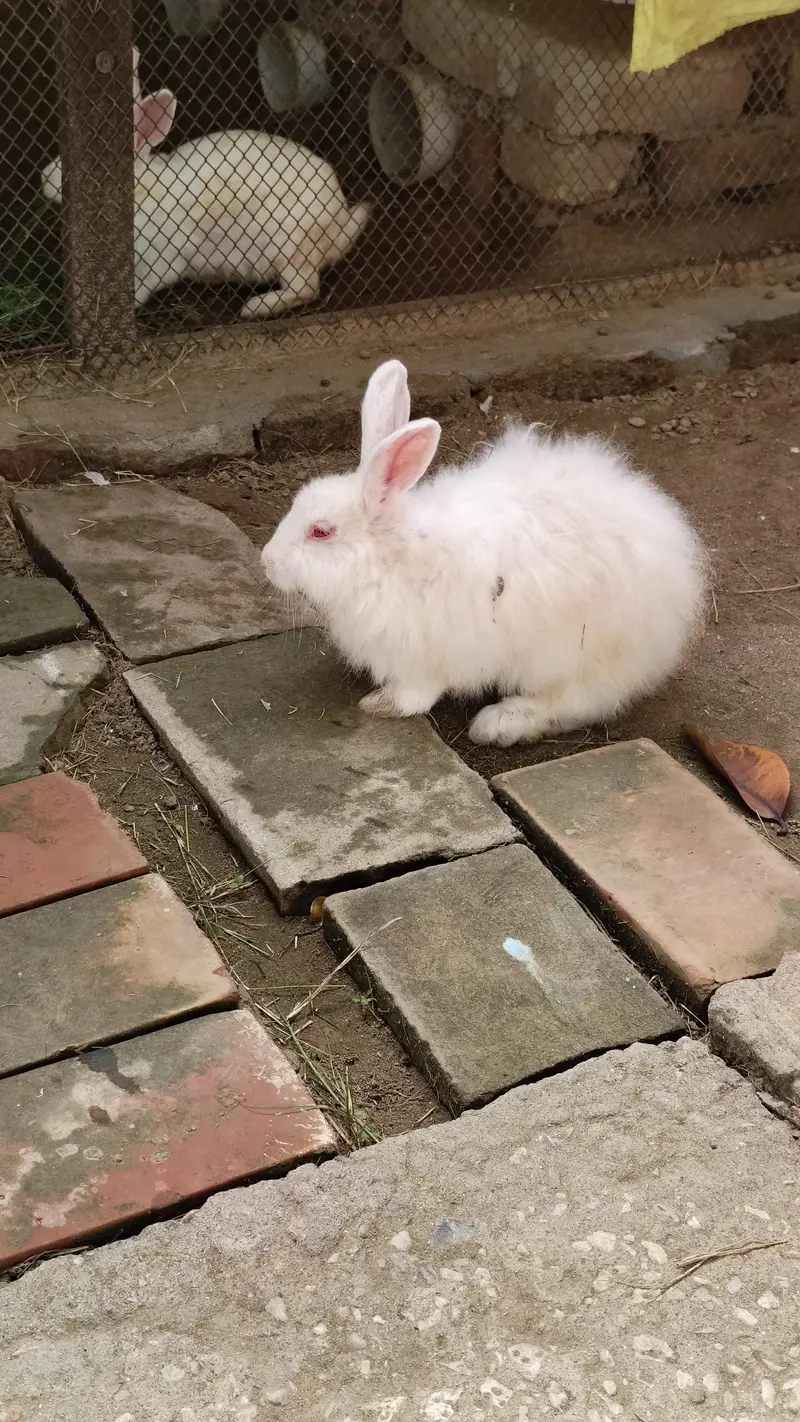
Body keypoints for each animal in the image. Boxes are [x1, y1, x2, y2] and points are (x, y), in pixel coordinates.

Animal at [41, 50, 370, 320]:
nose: (43, 179)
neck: (138, 191)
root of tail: (340, 218)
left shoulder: (161, 261)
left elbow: (144, 286)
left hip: (289, 246)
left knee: (307, 288)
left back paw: (255, 308)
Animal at [261, 360, 707, 746]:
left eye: (320, 532)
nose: (267, 562)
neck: (388, 559)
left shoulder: (425, 656)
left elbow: (416, 693)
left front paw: (379, 705)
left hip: (569, 652)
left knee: (575, 701)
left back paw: (499, 723)